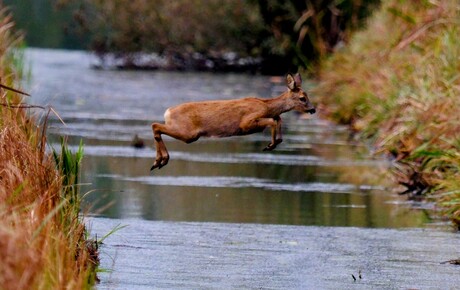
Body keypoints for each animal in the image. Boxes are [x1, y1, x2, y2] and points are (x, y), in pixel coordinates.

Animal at [151, 72, 316, 170]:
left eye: (307, 95)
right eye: (303, 98)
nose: (313, 109)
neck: (266, 106)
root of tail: (168, 112)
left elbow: (278, 118)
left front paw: (274, 143)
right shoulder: (246, 123)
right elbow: (272, 121)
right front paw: (270, 145)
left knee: (156, 126)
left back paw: (158, 162)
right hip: (189, 133)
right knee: (155, 125)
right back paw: (161, 160)